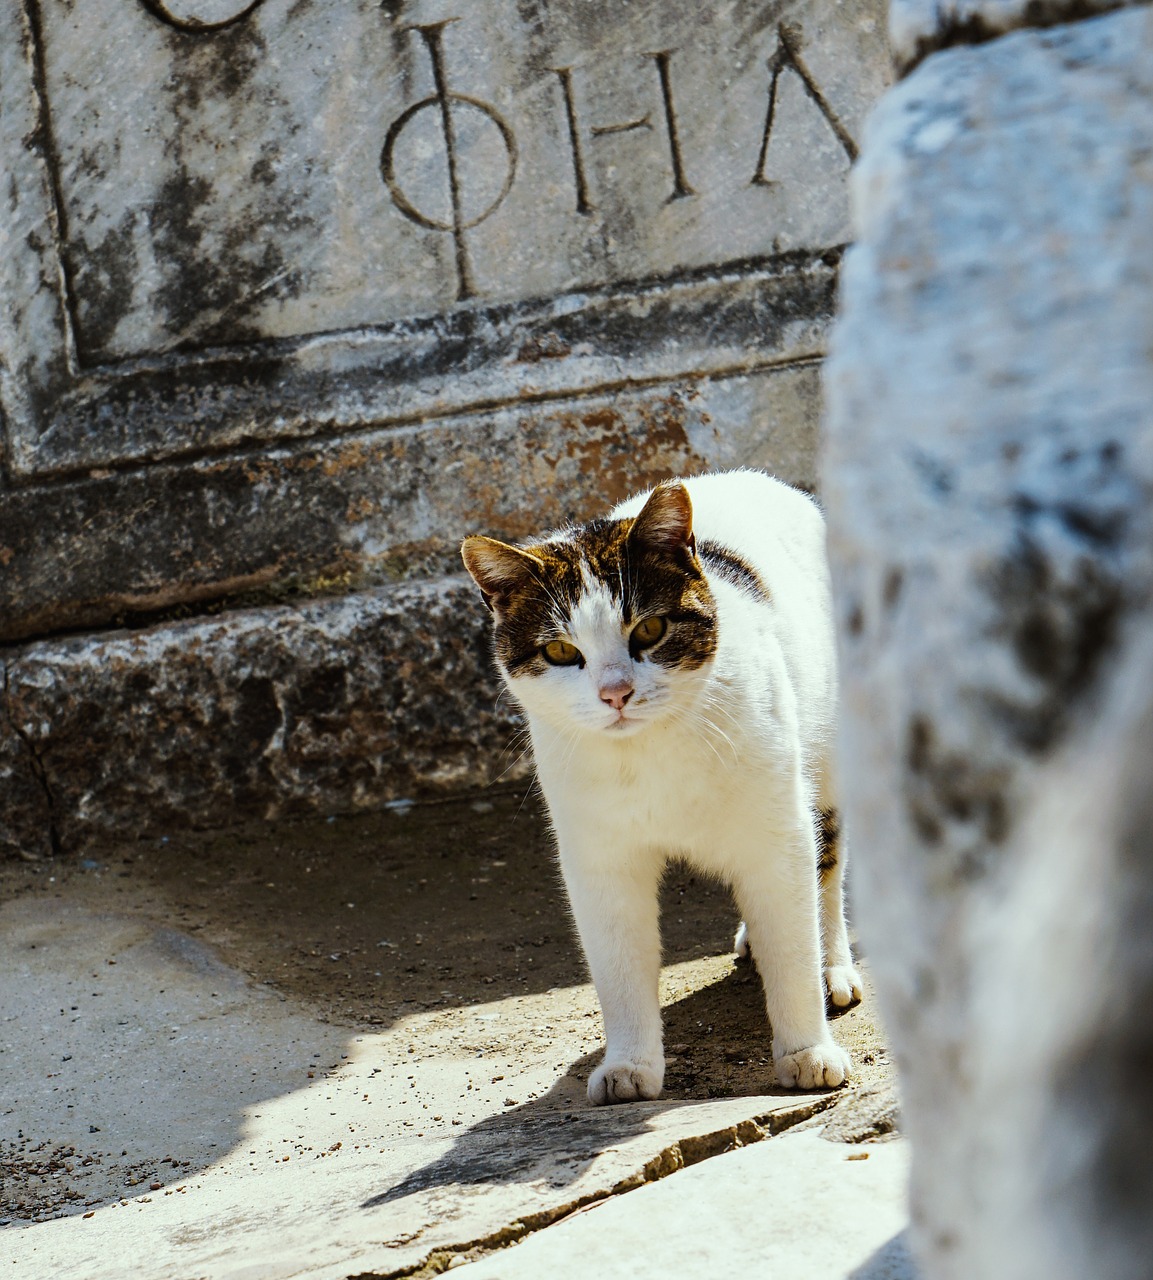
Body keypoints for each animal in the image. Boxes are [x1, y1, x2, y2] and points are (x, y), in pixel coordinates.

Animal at [463, 471, 859, 1100]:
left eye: (649, 629)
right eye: (560, 651)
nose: (615, 693)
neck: (648, 753)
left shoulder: (778, 830)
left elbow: (793, 942)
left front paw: (806, 1050)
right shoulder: (600, 859)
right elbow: (620, 968)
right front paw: (630, 1065)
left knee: (826, 870)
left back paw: (833, 964)